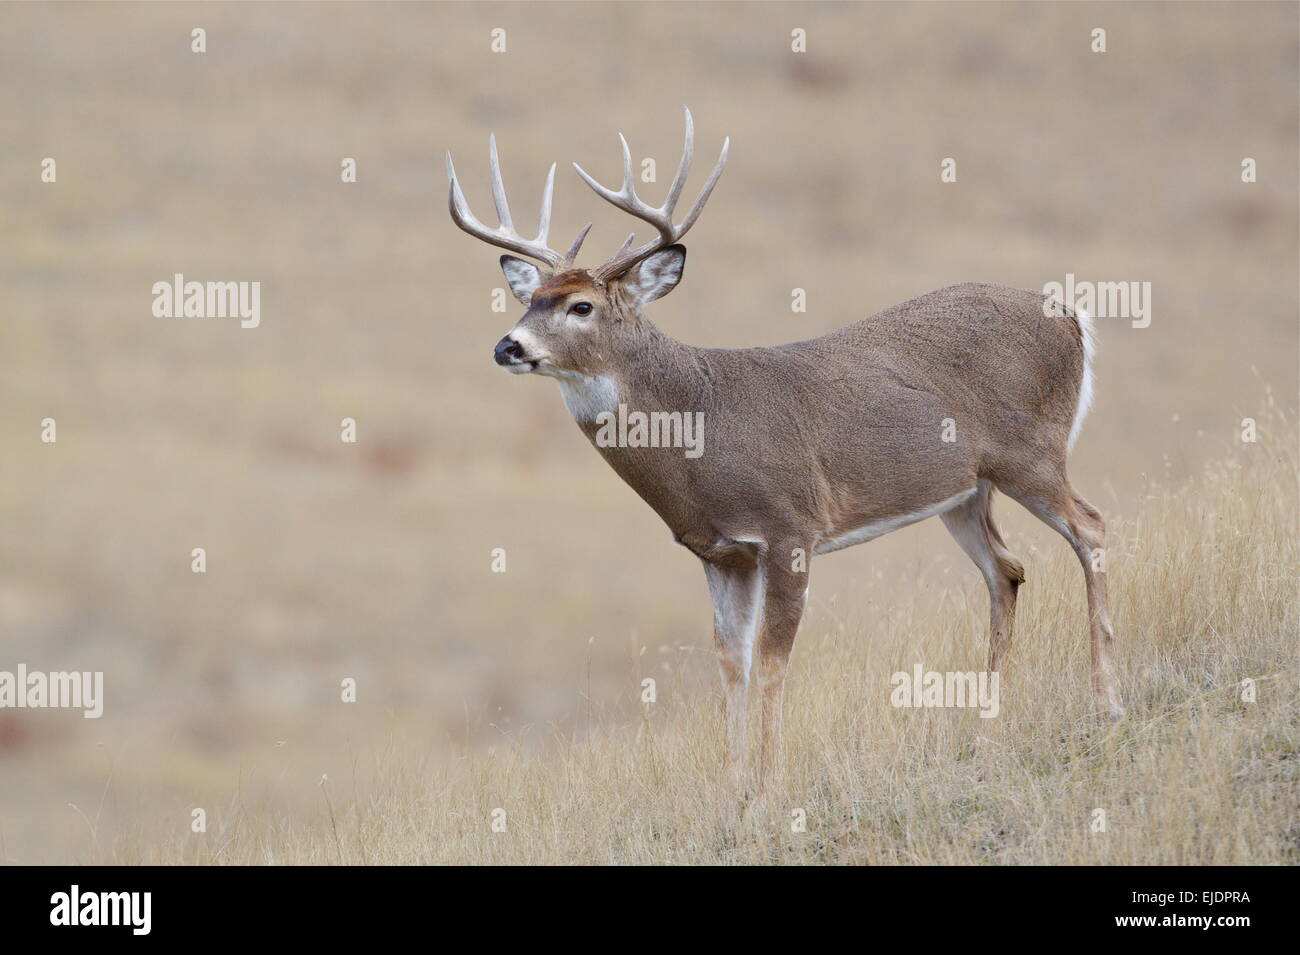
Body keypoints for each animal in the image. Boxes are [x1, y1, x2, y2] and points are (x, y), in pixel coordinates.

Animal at [444, 106, 1118, 800]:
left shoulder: (791, 527)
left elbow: (772, 660)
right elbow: (731, 663)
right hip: (965, 491)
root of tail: (1073, 316)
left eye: (582, 306)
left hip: (1032, 452)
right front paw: (733, 791)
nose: (508, 346)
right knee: (1006, 571)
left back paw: (1106, 703)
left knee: (1091, 527)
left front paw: (768, 787)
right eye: (530, 300)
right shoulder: (721, 552)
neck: (699, 426)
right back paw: (987, 733)